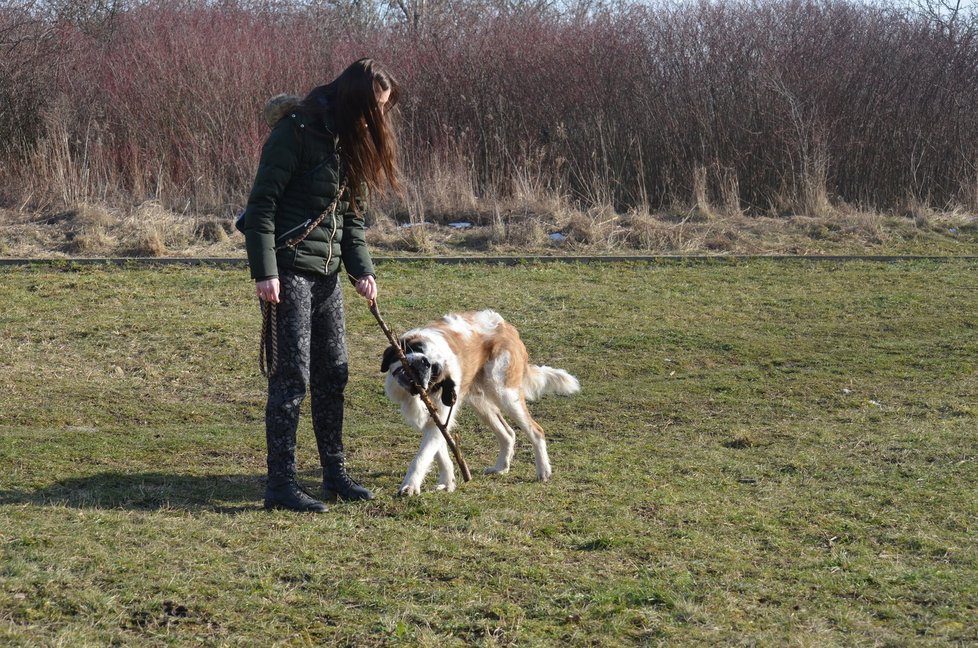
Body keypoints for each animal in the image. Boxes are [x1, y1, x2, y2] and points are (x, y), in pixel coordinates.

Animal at [382, 308, 580, 496]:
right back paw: (501, 467)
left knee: (536, 431)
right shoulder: (435, 419)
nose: (424, 362)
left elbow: (422, 456)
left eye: (436, 369)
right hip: (480, 403)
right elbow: (440, 453)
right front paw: (447, 482)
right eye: (418, 347)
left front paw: (409, 486)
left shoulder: (441, 415)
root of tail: (507, 327)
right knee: (508, 433)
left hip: (505, 394)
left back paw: (543, 470)